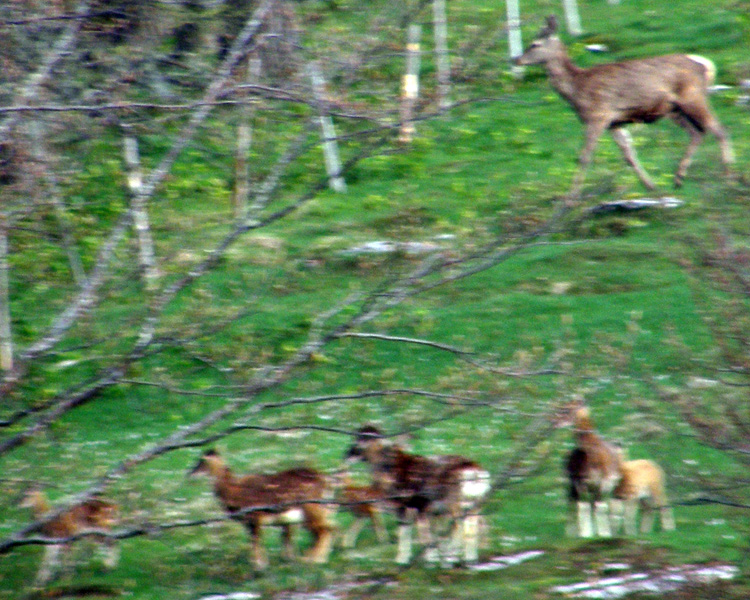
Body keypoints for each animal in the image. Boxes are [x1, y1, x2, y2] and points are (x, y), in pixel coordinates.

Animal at [189, 450, 336, 572]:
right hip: (322, 511)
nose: (190, 473)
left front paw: (259, 566)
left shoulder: (255, 516)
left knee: (325, 530)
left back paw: (313, 560)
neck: (234, 493)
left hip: (311, 509)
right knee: (329, 529)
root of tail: (327, 482)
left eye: (202, 461)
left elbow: (256, 541)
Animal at [344, 424, 490, 564]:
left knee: (459, 528)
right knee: (471, 531)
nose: (347, 455)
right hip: (474, 505)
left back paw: (451, 557)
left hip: (454, 504)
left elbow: (412, 535)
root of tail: (474, 472)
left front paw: (404, 560)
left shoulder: (410, 507)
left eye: (359, 440)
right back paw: (470, 559)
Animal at [516, 15, 736, 199]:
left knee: (719, 129)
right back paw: (678, 179)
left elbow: (584, 156)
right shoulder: (615, 122)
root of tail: (705, 65)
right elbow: (629, 155)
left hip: (692, 98)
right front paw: (651, 186)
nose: (516, 59)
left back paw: (728, 176)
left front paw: (570, 198)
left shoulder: (598, 115)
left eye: (534, 44)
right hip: (674, 109)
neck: (576, 89)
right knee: (697, 132)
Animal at [556, 404, 624, 540]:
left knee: (611, 508)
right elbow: (583, 507)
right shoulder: (580, 483)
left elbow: (601, 507)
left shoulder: (602, 484)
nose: (555, 421)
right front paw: (586, 534)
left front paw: (603, 534)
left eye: (566, 409)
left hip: (611, 488)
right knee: (577, 506)